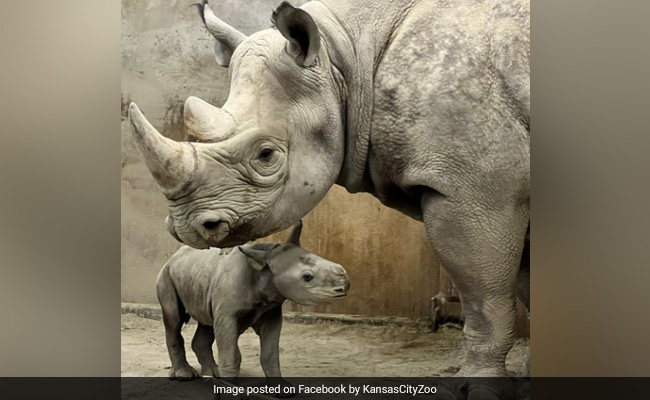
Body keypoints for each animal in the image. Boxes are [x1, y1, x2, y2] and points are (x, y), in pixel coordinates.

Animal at [157, 221, 350, 380]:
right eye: (307, 277)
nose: (345, 285)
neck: (264, 270)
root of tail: (173, 256)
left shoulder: (271, 312)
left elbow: (270, 354)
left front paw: (282, 391)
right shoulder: (228, 315)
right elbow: (232, 355)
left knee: (206, 322)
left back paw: (213, 374)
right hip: (166, 274)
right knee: (174, 319)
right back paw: (185, 375)